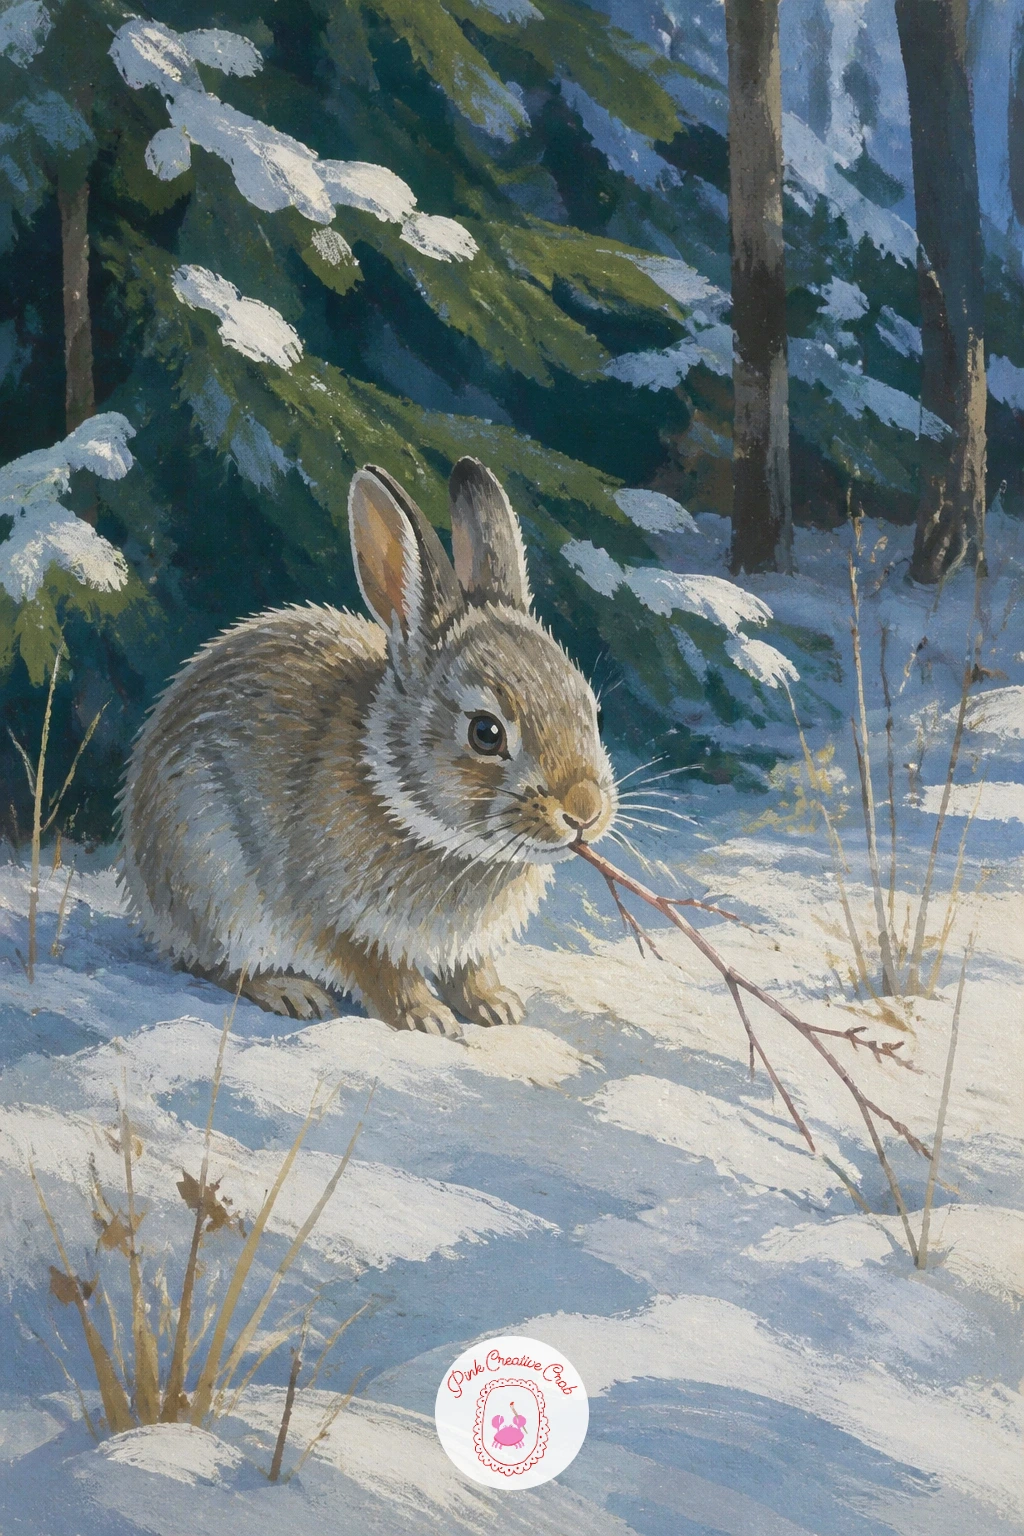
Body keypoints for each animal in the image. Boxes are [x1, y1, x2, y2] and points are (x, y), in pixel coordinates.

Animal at [118, 457, 618, 1038]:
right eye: (486, 733)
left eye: (592, 711)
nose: (585, 812)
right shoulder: (342, 917)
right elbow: (383, 972)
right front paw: (426, 1019)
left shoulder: (465, 946)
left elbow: (471, 969)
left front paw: (497, 1007)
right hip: (208, 871)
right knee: (211, 964)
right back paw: (290, 991)